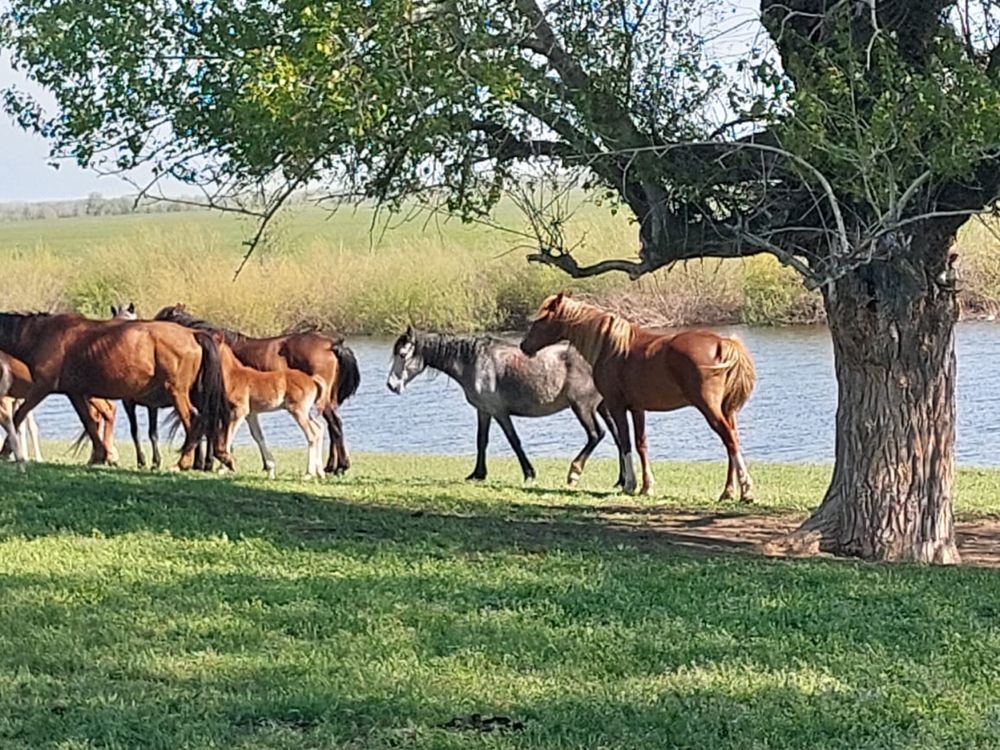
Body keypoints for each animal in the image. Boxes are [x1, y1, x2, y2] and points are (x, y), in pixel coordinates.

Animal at [0, 312, 233, 470]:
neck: (43, 334)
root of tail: (194, 334)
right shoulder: (75, 393)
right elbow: (89, 422)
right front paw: (100, 455)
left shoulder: (41, 387)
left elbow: (17, 417)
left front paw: (5, 451)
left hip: (177, 393)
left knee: (193, 420)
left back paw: (184, 462)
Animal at [154, 306, 362, 476]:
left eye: (162, 319)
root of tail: (333, 345)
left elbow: (211, 430)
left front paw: (207, 463)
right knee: (331, 427)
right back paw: (330, 466)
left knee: (334, 426)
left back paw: (339, 466)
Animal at [386, 328, 620, 488]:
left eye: (403, 355)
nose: (391, 385)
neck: (475, 362)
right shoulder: (484, 411)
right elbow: (481, 441)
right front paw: (478, 474)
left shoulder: (499, 412)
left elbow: (514, 441)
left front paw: (529, 473)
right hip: (603, 407)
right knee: (619, 439)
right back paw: (620, 481)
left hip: (582, 407)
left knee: (596, 435)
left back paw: (574, 473)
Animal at [520, 296, 752, 502]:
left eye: (541, 320)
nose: (523, 346)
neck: (610, 347)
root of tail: (722, 343)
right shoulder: (637, 409)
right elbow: (641, 444)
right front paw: (647, 487)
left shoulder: (616, 406)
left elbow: (625, 442)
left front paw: (630, 485)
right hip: (727, 409)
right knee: (732, 441)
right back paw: (728, 492)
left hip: (709, 407)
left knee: (729, 439)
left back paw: (746, 488)